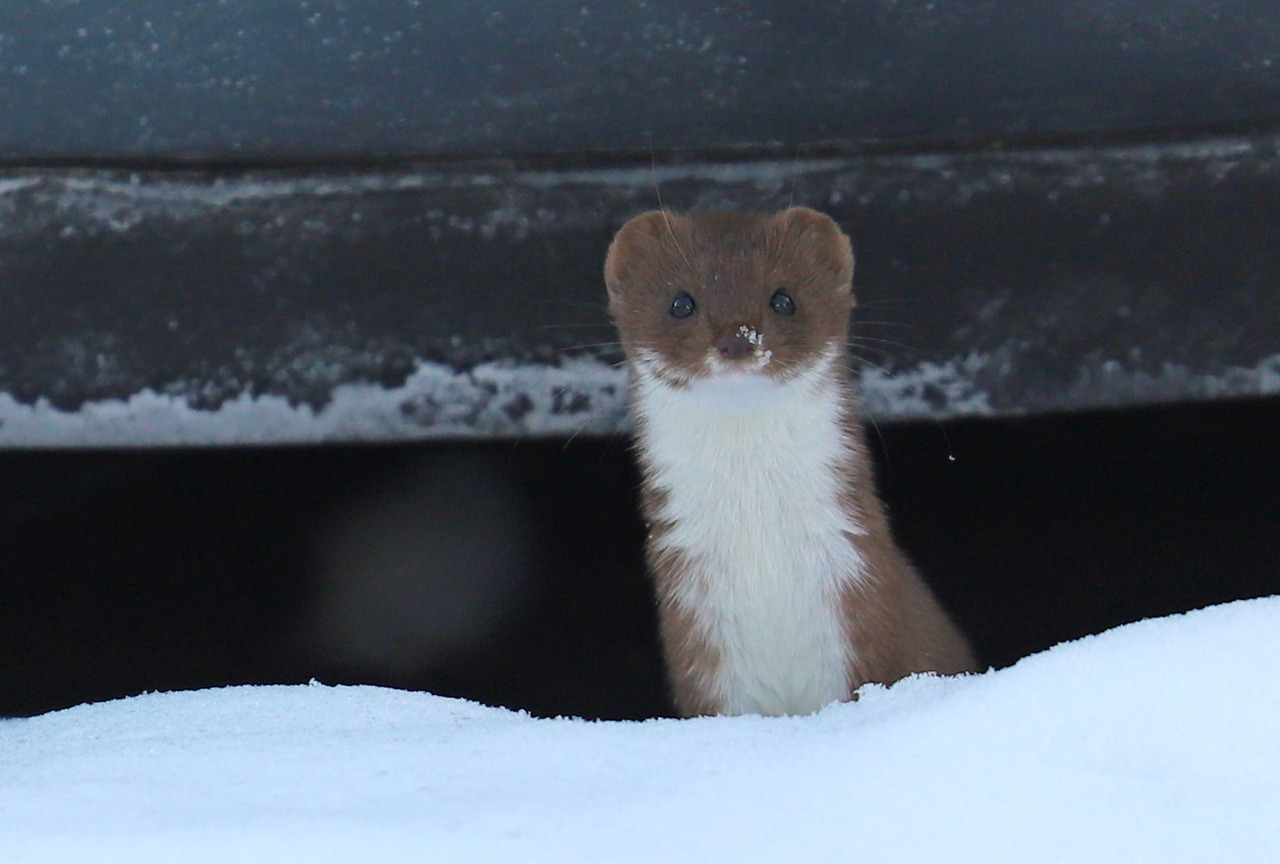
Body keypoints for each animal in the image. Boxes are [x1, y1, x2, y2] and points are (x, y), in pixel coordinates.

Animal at [604, 207, 972, 716]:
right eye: (681, 302)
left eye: (783, 299)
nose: (738, 340)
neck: (765, 564)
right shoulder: (697, 640)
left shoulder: (871, 610)